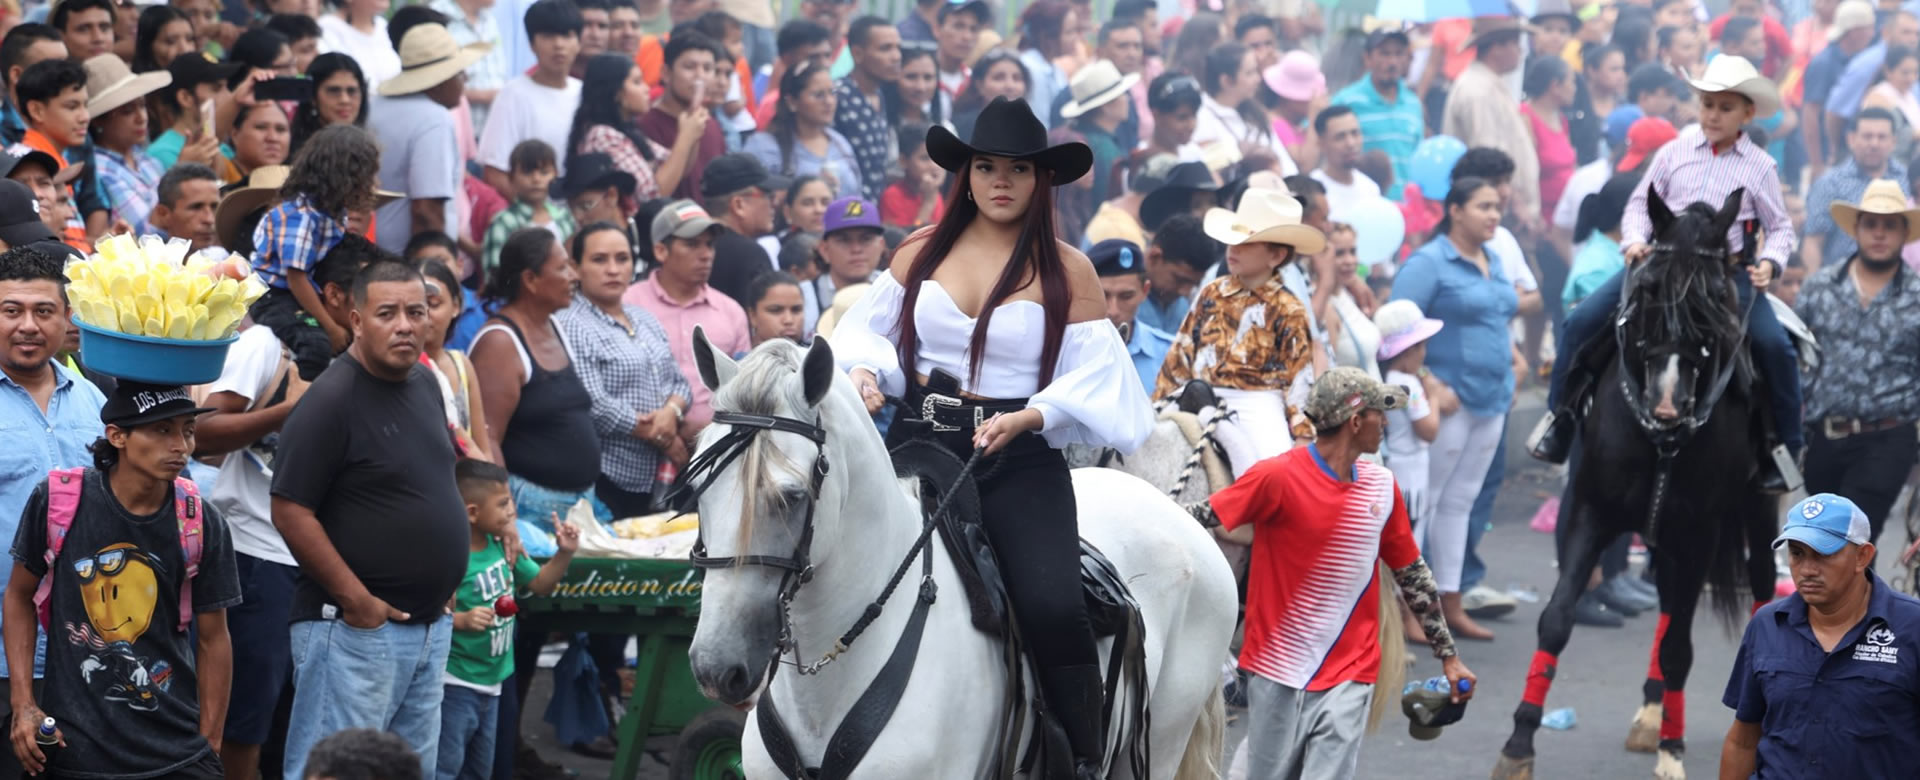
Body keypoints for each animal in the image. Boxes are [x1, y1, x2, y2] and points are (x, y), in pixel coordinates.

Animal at [1482, 189, 1781, 780]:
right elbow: (1556, 620)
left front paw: (1673, 750)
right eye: (1646, 288)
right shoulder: (1589, 511)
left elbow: (1681, 649)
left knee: (1759, 588)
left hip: (1755, 514)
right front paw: (1519, 743)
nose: (1668, 403)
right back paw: (1650, 710)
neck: (1661, 439)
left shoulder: (1698, 532)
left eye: (1716, 297)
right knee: (1666, 605)